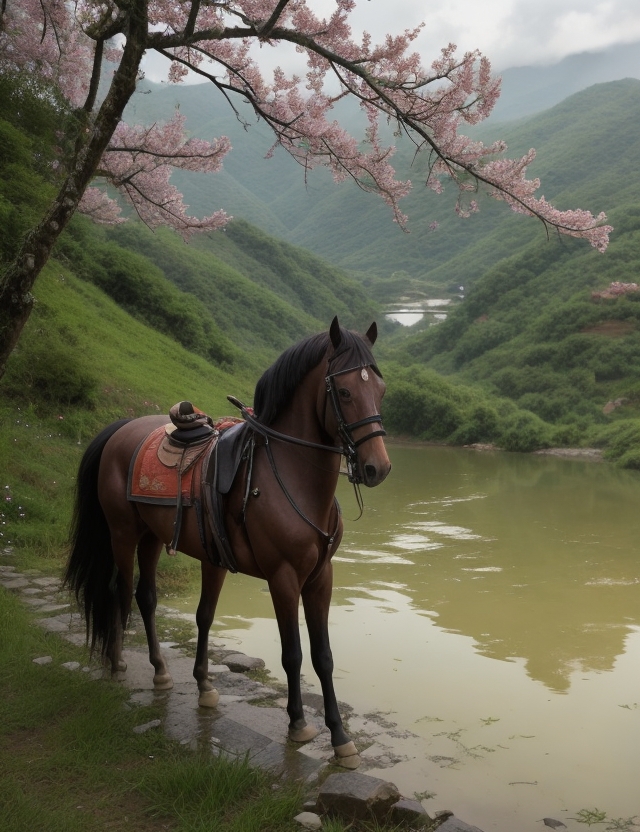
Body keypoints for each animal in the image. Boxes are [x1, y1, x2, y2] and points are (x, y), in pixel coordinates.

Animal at [67, 316, 392, 768]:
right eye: (344, 391)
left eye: (379, 390)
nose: (378, 467)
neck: (290, 476)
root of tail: (120, 428)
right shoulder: (283, 577)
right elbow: (293, 653)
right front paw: (298, 724)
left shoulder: (319, 577)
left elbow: (322, 656)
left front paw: (341, 738)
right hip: (122, 533)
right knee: (118, 591)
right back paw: (116, 664)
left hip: (152, 538)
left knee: (146, 597)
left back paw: (163, 671)